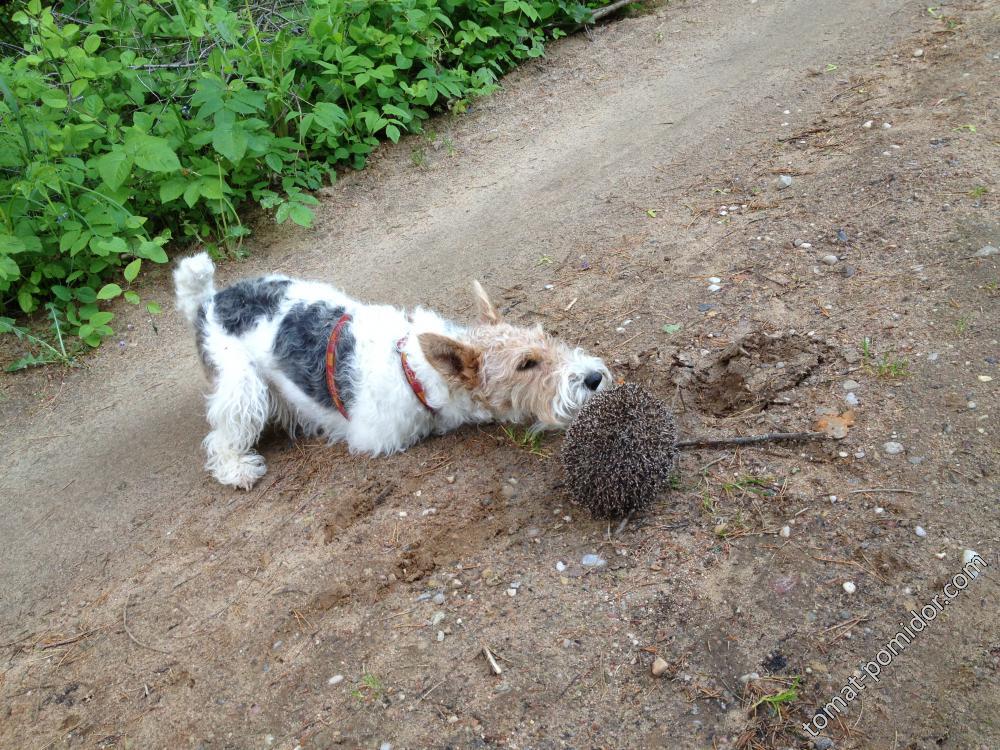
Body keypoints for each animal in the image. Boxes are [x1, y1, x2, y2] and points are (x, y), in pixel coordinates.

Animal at [174, 256, 608, 490]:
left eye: (546, 337)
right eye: (525, 364)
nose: (594, 378)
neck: (412, 369)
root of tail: (209, 299)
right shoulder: (378, 437)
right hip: (242, 387)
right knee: (221, 438)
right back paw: (239, 469)